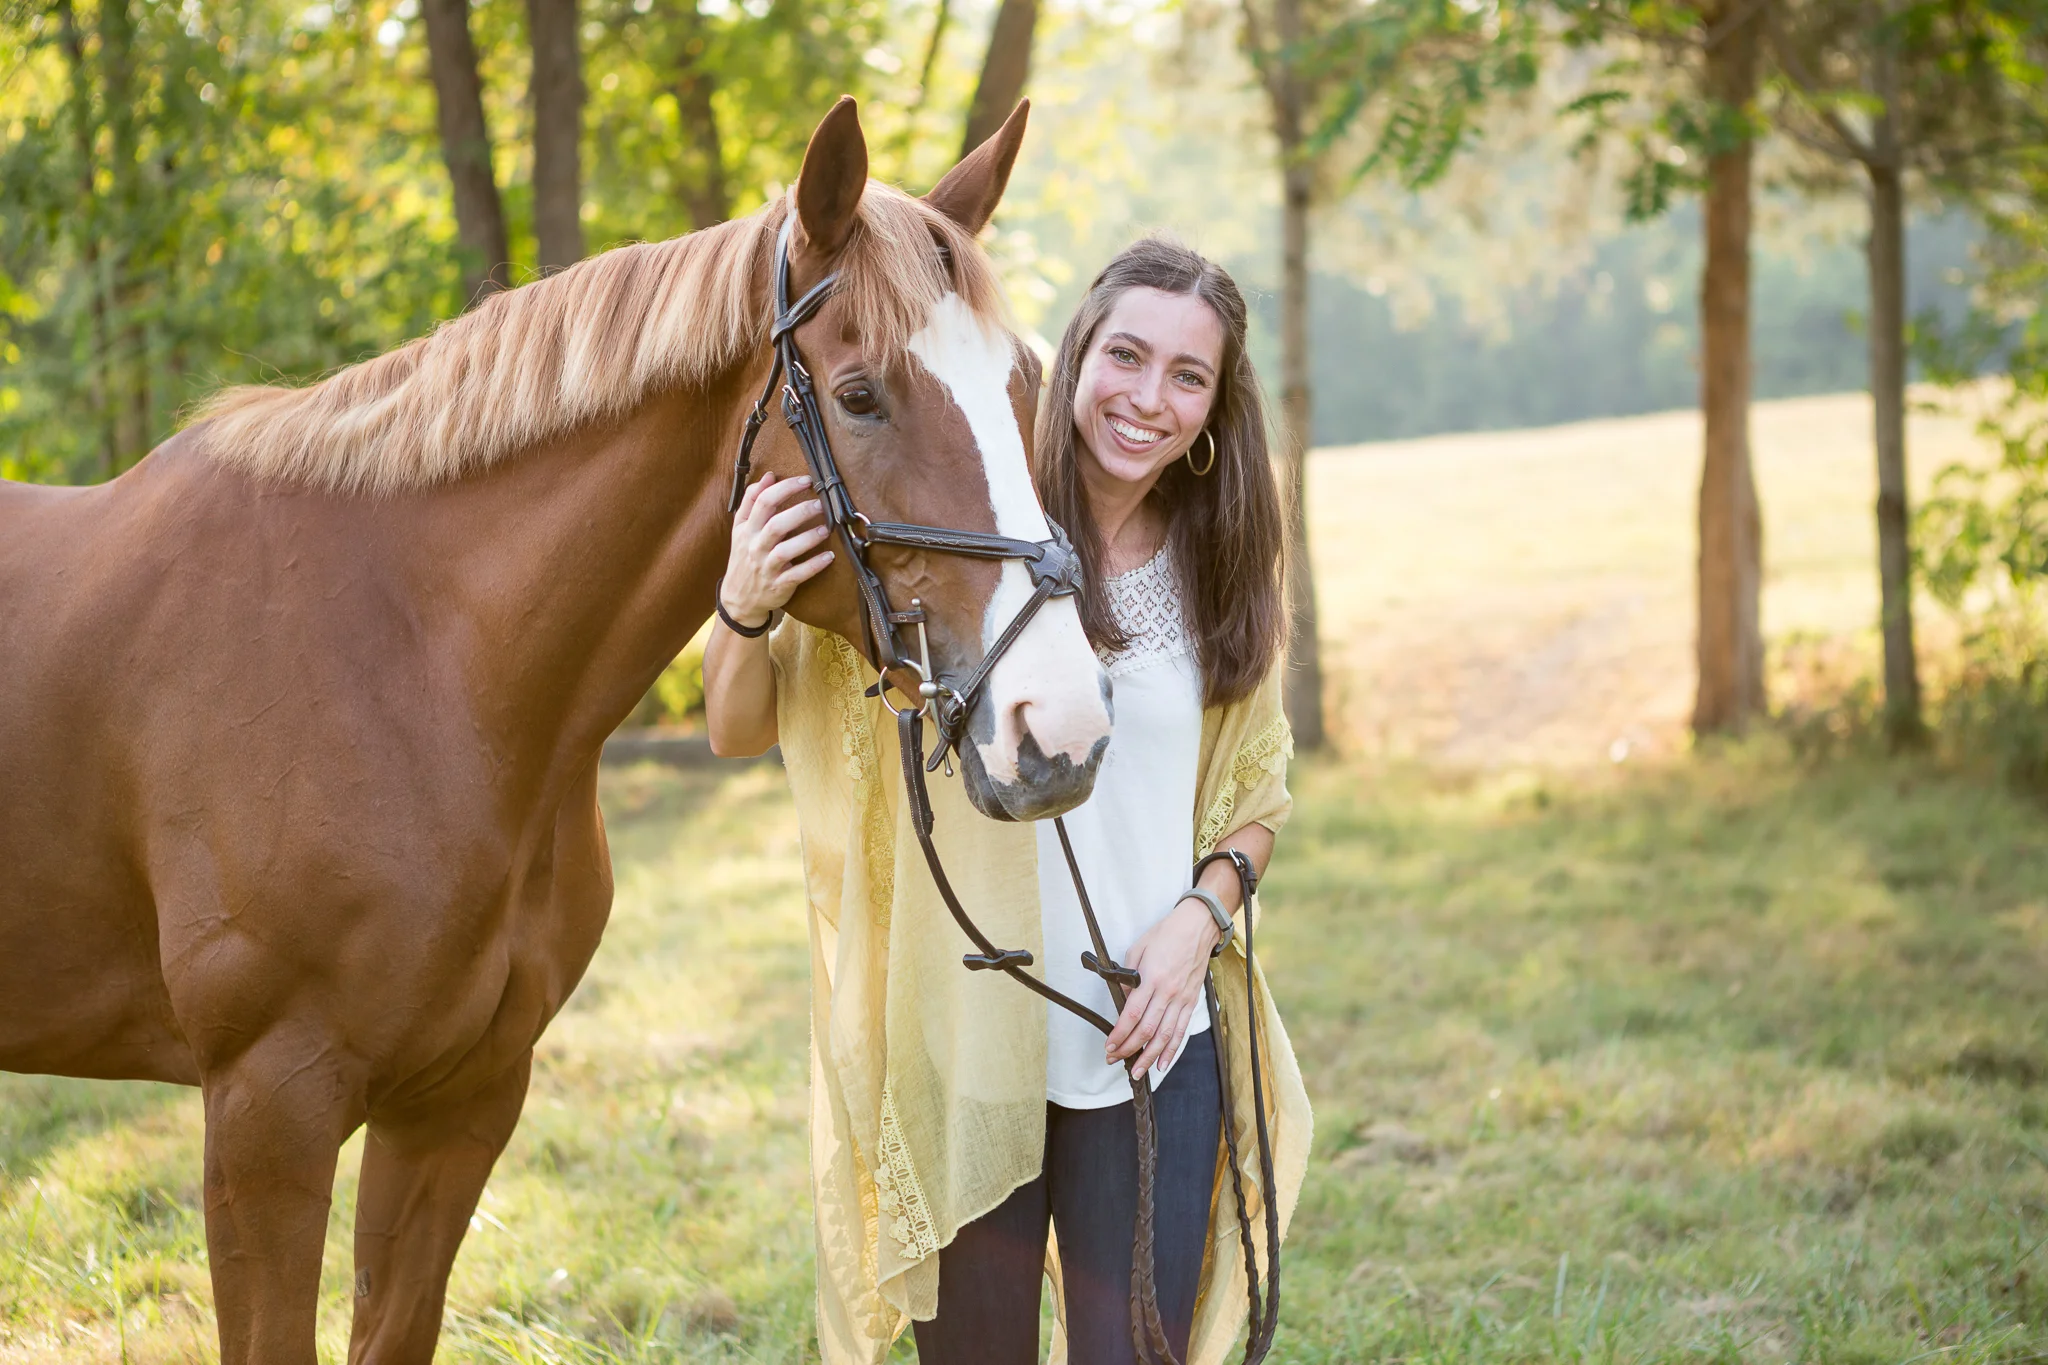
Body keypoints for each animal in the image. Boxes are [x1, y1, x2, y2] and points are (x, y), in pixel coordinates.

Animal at [0, 97, 1112, 1364]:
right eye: (861, 394)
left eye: (1022, 381)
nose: (1060, 727)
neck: (413, 663)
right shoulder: (265, 1115)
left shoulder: (459, 1101)